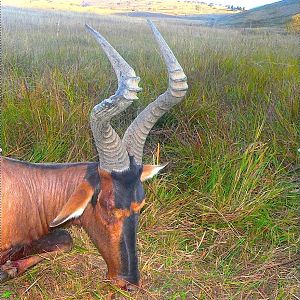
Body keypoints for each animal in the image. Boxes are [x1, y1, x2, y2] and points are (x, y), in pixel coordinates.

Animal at [0, 19, 188, 290]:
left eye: (141, 204)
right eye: (107, 204)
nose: (129, 282)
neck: (24, 186)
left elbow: (65, 238)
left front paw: (8, 268)